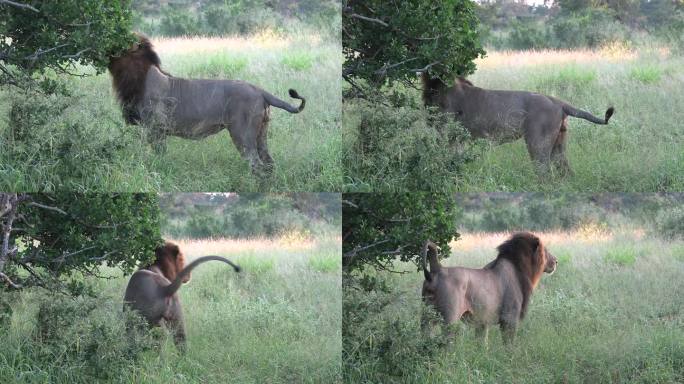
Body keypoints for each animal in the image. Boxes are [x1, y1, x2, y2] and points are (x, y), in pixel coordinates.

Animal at [109, 34, 308, 176]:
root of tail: (260, 90)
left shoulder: (154, 129)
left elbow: (157, 156)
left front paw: (155, 169)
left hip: (243, 135)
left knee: (256, 165)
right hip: (261, 134)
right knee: (269, 164)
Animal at [420, 231, 560, 342]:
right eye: (545, 250)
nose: (556, 261)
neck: (520, 268)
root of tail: (438, 269)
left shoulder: (482, 322)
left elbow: (482, 345)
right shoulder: (509, 319)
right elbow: (509, 346)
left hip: (425, 318)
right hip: (450, 319)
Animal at [422, 74, 616, 176]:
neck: (433, 84)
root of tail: (559, 102)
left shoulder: (447, 132)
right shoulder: (456, 137)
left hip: (538, 143)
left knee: (544, 172)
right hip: (559, 144)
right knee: (565, 171)